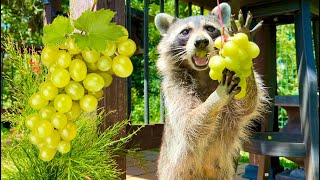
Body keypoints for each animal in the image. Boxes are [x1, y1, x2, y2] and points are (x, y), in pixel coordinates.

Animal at [154, 2, 268, 180]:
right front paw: (217, 97)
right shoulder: (175, 86)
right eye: (185, 32)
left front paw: (243, 51)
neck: (201, 73)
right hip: (173, 172)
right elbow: (188, 125)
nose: (201, 42)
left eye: (209, 28)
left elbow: (246, 105)